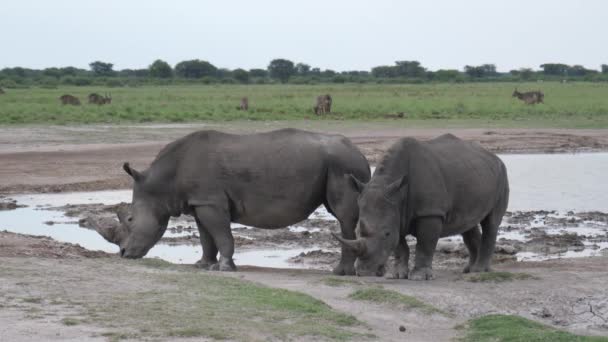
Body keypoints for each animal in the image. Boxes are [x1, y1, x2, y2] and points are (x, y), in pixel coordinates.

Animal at [100, 128, 370, 276]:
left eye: (130, 219)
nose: (123, 254)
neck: (162, 184)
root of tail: (360, 153)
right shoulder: (199, 202)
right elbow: (205, 237)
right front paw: (202, 265)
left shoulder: (210, 202)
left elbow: (221, 235)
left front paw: (224, 268)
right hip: (341, 164)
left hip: (342, 165)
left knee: (344, 217)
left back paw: (341, 273)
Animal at [338, 134, 508, 280]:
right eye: (356, 232)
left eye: (386, 234)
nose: (363, 272)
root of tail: (495, 157)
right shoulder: (396, 212)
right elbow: (399, 245)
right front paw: (398, 275)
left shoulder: (430, 212)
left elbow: (425, 244)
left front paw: (419, 276)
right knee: (468, 226)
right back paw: (469, 270)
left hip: (502, 175)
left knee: (491, 222)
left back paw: (479, 271)